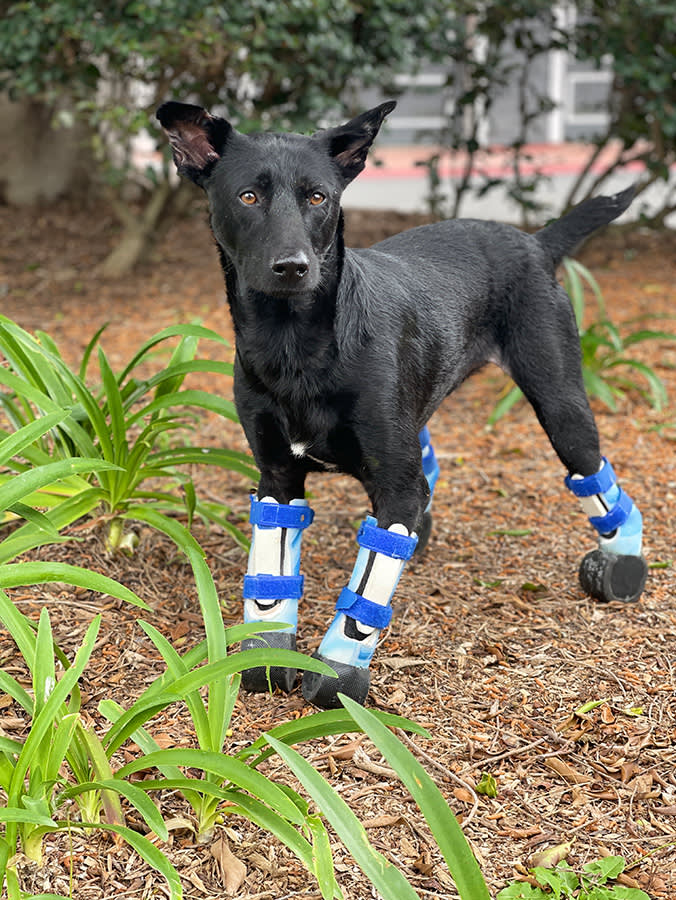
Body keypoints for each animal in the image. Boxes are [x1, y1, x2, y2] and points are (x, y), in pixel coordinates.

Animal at [156, 100, 648, 712]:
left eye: (318, 197)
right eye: (248, 196)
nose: (293, 266)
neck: (295, 345)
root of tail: (534, 243)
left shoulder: (395, 486)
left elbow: (366, 591)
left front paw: (337, 669)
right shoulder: (277, 477)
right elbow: (273, 571)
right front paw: (266, 652)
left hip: (561, 407)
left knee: (598, 480)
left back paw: (623, 562)